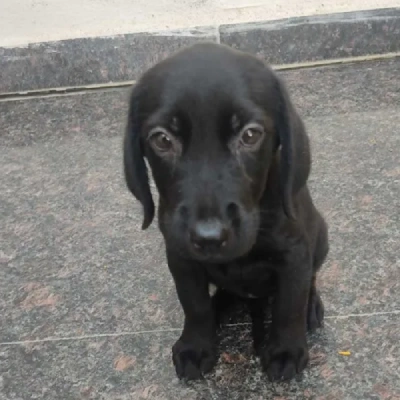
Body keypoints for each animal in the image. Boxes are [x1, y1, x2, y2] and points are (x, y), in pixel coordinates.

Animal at [123, 42, 330, 382]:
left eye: (250, 135)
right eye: (162, 139)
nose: (208, 237)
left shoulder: (294, 252)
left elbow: (289, 304)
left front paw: (286, 350)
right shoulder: (180, 256)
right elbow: (193, 304)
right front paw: (196, 345)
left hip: (322, 236)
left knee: (311, 278)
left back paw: (311, 306)